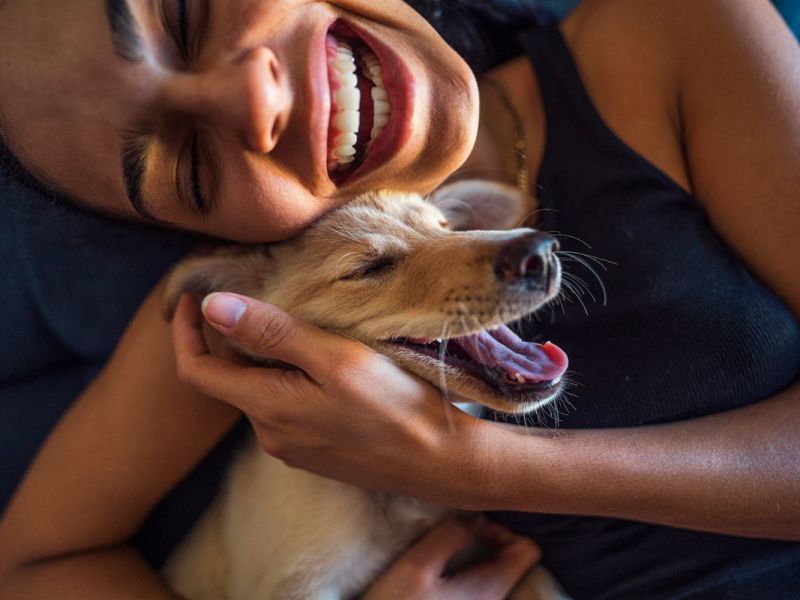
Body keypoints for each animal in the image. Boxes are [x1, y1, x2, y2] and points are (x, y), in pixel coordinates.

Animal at [164, 179, 568, 600]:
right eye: (369, 268)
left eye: (446, 227)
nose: (539, 251)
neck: (393, 496)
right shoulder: (296, 584)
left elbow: (542, 582)